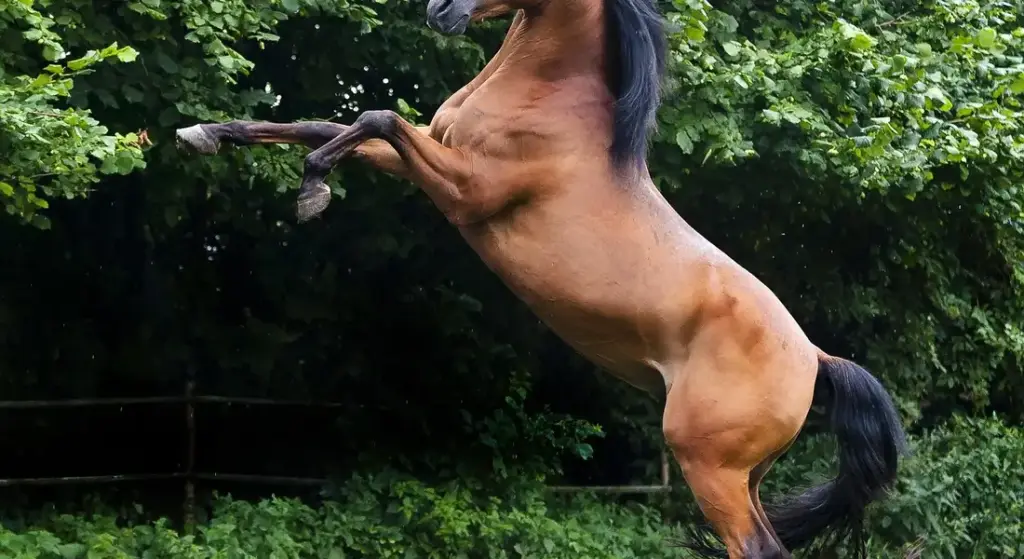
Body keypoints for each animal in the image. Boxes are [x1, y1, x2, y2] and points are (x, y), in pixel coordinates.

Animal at [174, 0, 908, 555]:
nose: (439, 10)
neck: (547, 102)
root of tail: (816, 357)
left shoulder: (464, 189)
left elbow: (371, 118)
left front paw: (312, 190)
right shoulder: (424, 157)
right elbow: (327, 122)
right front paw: (206, 132)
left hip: (709, 467)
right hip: (745, 476)